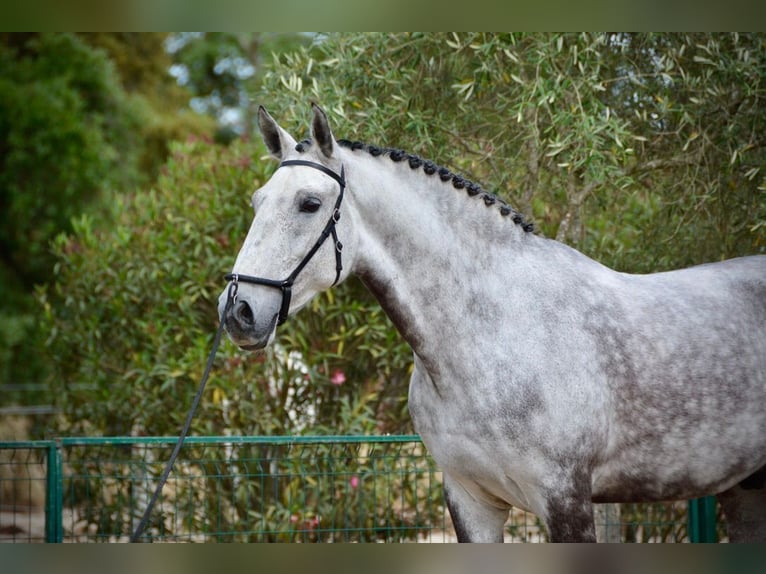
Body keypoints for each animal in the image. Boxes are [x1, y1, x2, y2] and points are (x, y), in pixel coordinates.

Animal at [219, 104, 766, 544]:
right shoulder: (470, 501)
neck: (491, 335)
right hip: (744, 488)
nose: (238, 311)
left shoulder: (566, 502)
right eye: (257, 202)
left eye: (309, 204)